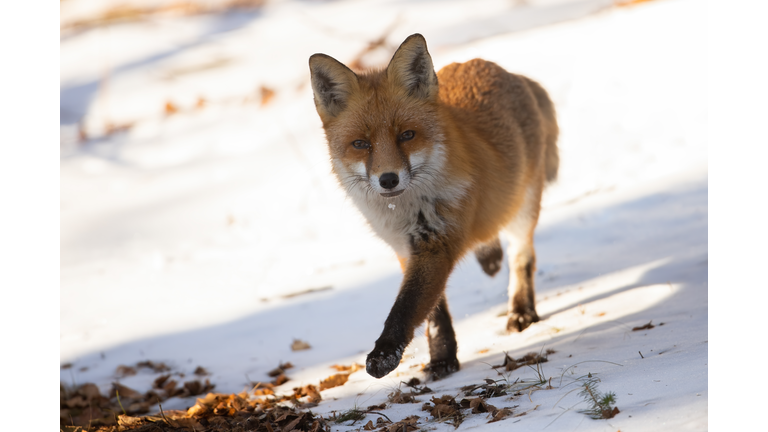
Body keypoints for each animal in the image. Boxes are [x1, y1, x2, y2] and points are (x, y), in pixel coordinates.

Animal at [308, 33, 559, 380]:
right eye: (361, 144)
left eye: (407, 135)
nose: (388, 179)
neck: (402, 213)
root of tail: (501, 69)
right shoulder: (404, 248)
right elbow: (433, 313)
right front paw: (442, 358)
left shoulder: (436, 242)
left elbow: (407, 307)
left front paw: (385, 354)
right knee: (490, 238)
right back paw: (490, 257)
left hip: (521, 209)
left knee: (522, 258)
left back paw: (522, 311)